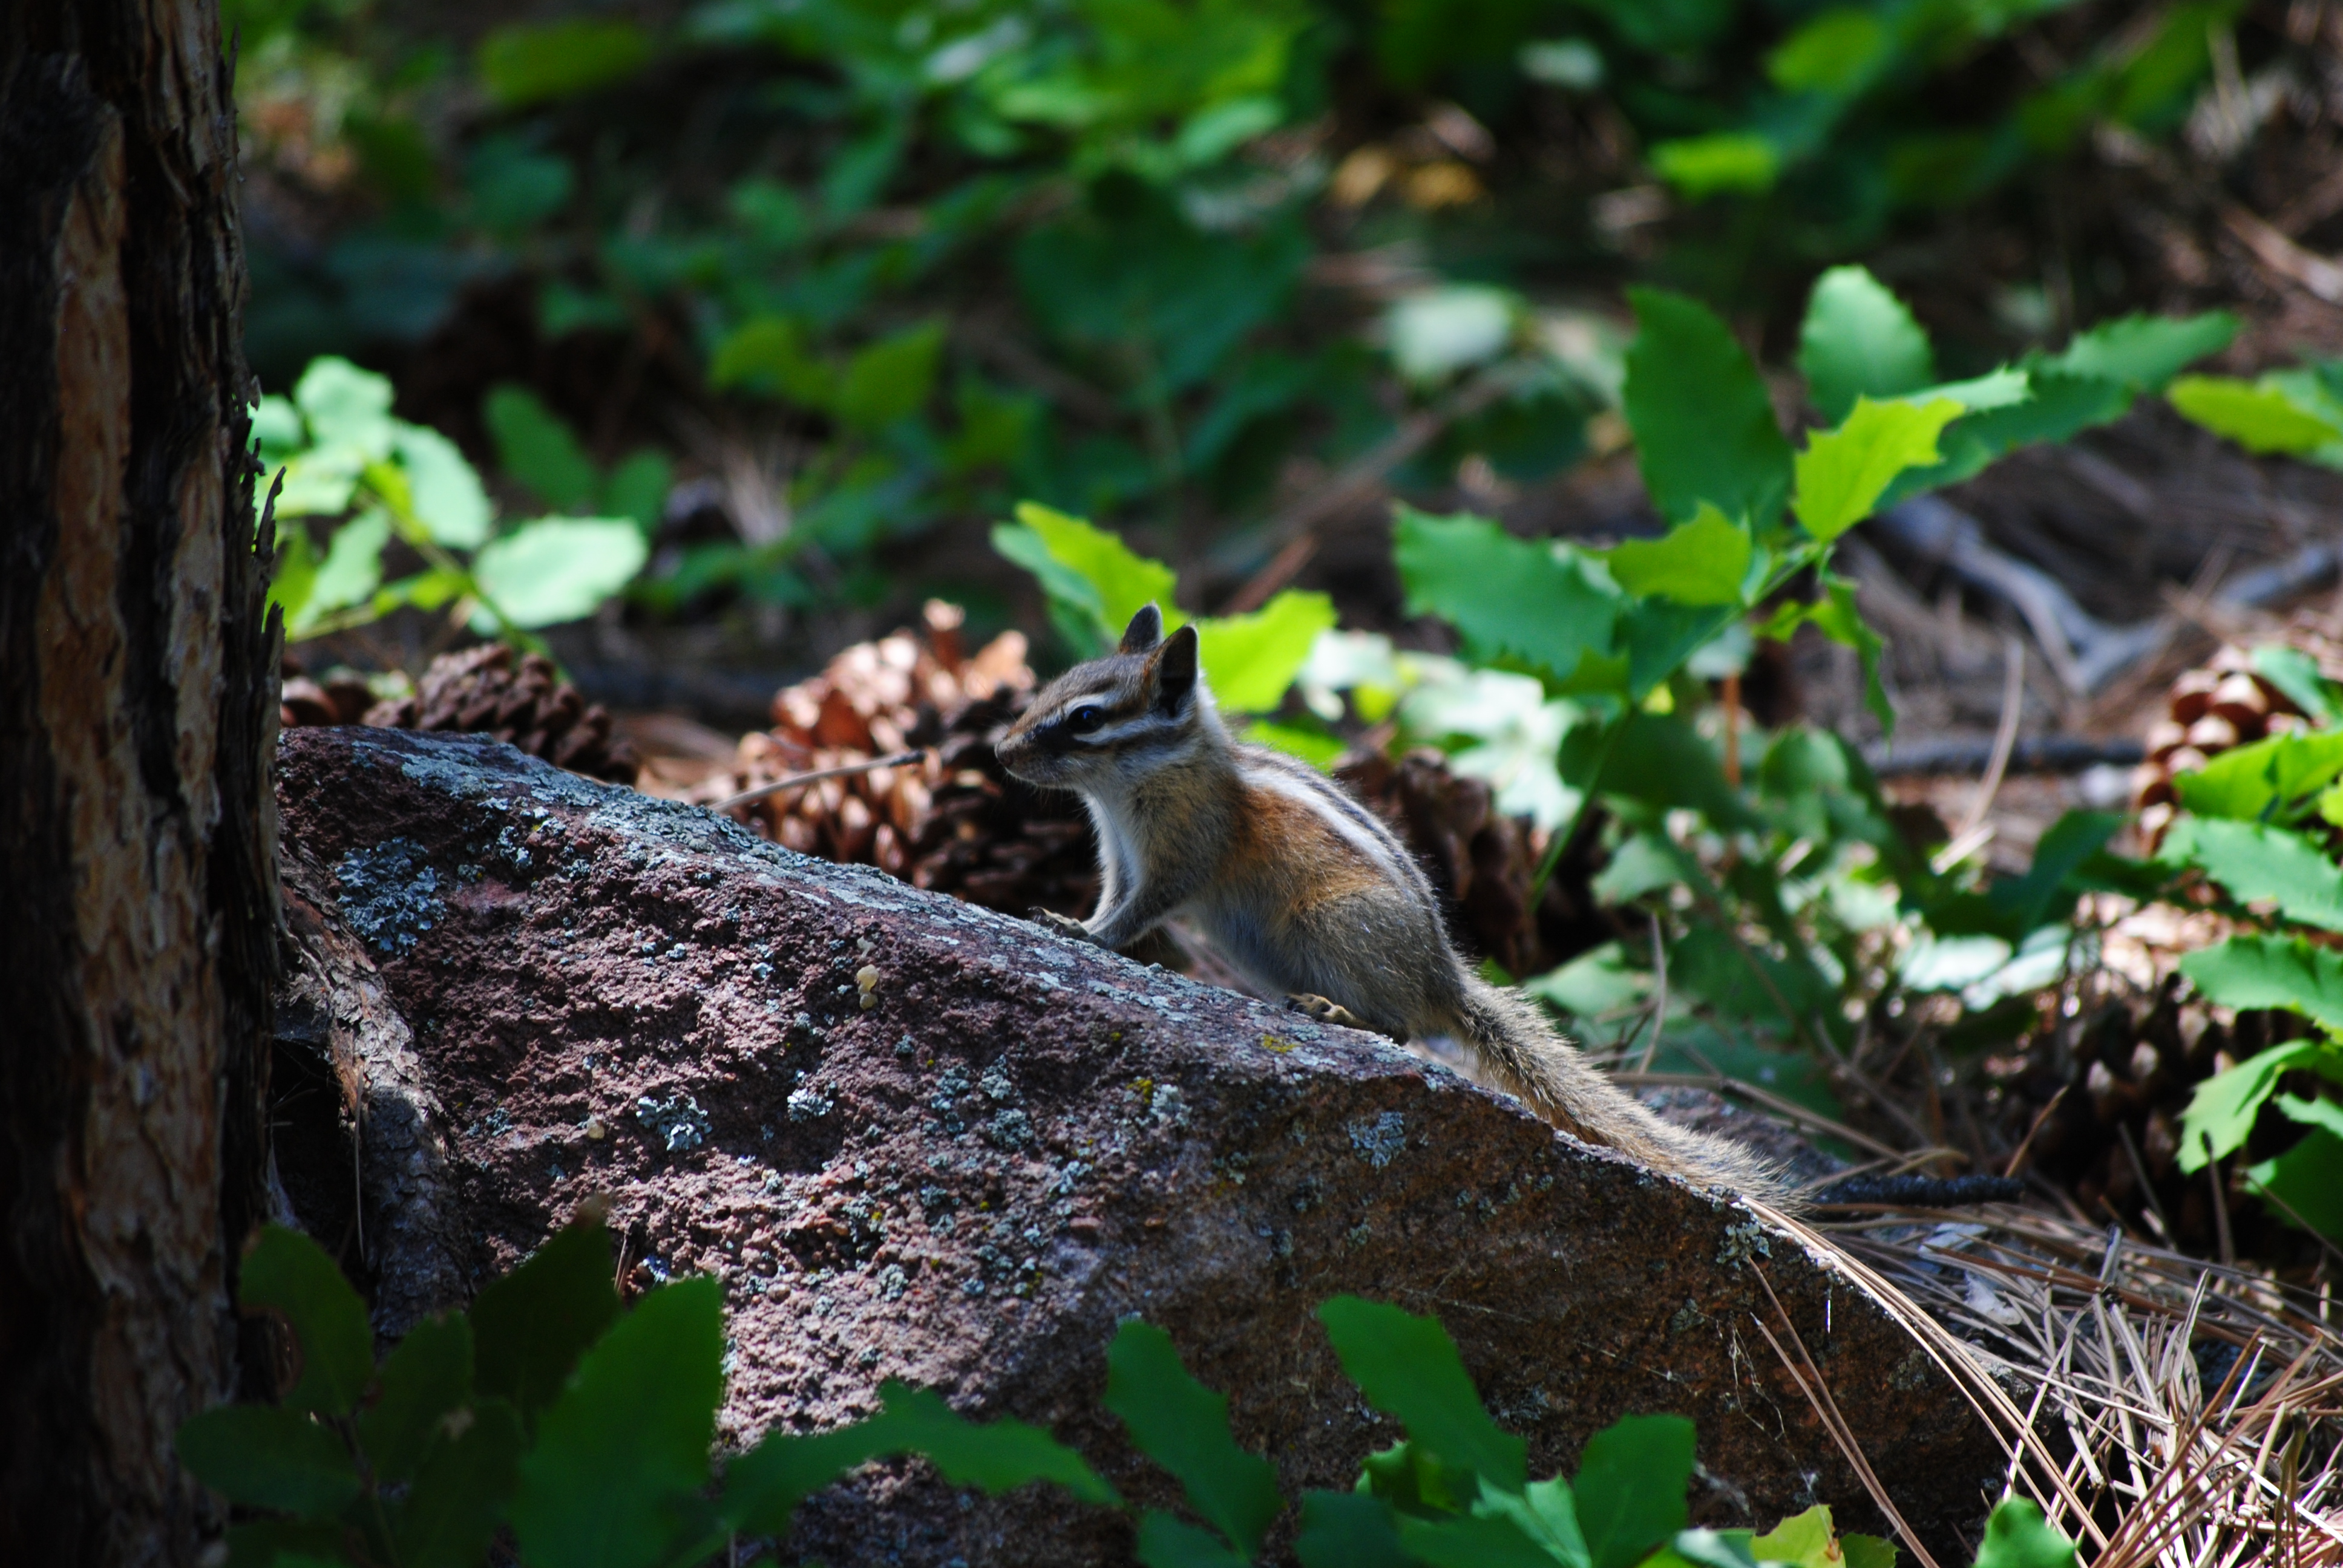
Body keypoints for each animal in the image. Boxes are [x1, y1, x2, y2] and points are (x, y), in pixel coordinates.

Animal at [995, 603, 1785, 1203]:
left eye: (1086, 719)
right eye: (1053, 685)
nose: (1000, 751)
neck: (1130, 786)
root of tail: (1444, 980)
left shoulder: (1181, 850)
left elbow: (1144, 907)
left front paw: (1090, 938)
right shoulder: (1118, 855)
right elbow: (1115, 898)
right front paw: (1073, 920)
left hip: (1330, 924)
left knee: (1402, 1029)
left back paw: (1336, 1012)